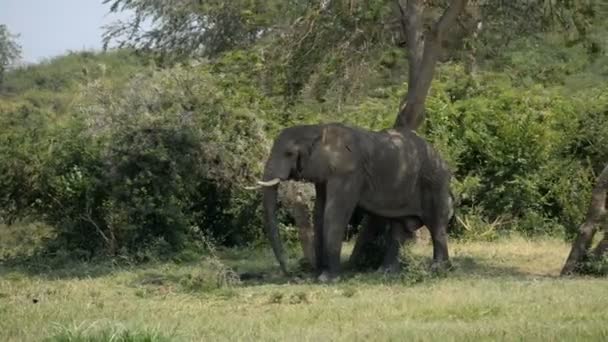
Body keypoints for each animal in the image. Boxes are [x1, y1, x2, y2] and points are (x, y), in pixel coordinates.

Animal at [249, 121, 454, 282]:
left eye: (289, 153)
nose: (291, 275)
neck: (317, 129)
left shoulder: (347, 172)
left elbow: (334, 212)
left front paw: (327, 279)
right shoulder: (324, 174)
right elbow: (319, 212)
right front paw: (319, 276)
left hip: (433, 183)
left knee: (435, 225)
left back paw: (438, 270)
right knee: (399, 228)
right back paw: (385, 272)